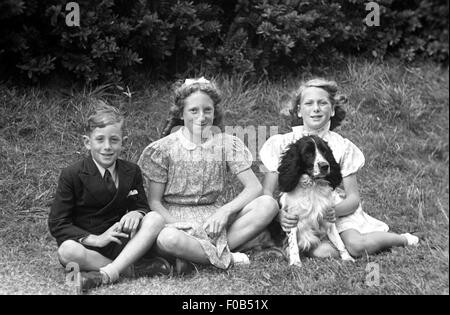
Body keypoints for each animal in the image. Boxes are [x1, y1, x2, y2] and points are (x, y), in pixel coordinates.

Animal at [278, 135, 356, 266]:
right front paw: (295, 262)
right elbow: (293, 244)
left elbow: (339, 242)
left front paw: (347, 258)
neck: (312, 187)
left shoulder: (327, 218)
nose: (325, 166)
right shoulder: (292, 219)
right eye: (308, 153)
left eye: (324, 151)